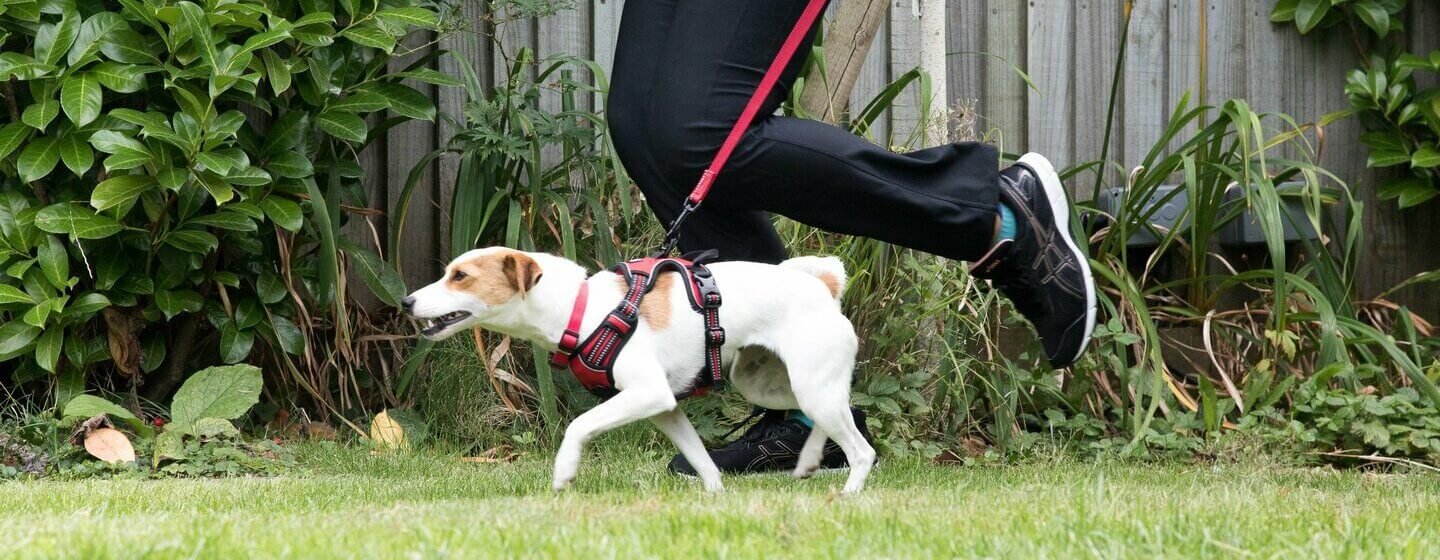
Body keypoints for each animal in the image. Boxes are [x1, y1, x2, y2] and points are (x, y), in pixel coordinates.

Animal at [406, 246, 875, 492]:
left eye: (460, 276)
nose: (407, 302)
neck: (582, 310)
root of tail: (824, 287)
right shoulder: (666, 408)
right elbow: (702, 461)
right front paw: (718, 498)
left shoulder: (648, 393)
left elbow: (578, 425)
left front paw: (564, 471)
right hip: (771, 386)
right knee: (836, 415)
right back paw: (810, 459)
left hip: (809, 386)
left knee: (861, 449)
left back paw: (847, 496)